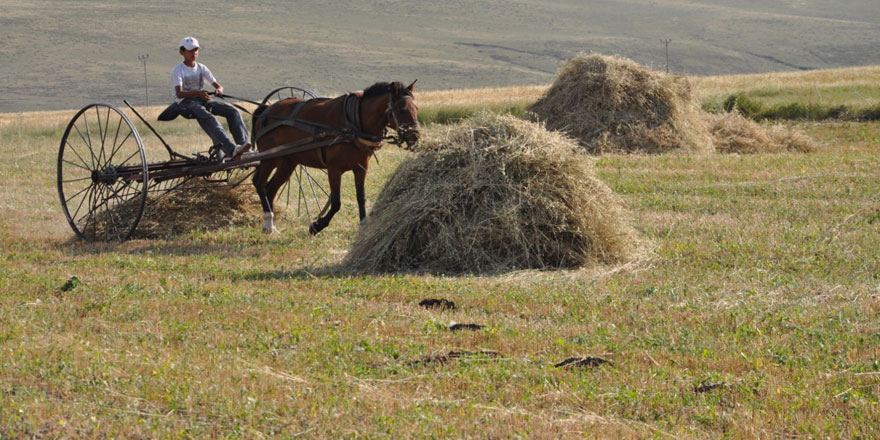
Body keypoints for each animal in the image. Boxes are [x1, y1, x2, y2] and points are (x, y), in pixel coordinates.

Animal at [253, 81, 422, 235]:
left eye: (416, 108)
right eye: (401, 110)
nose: (415, 138)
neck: (354, 122)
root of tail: (266, 110)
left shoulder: (361, 168)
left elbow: (361, 197)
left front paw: (362, 227)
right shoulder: (334, 169)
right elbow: (336, 203)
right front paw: (317, 225)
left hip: (288, 161)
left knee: (271, 187)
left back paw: (271, 222)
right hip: (270, 157)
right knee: (259, 183)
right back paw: (269, 222)